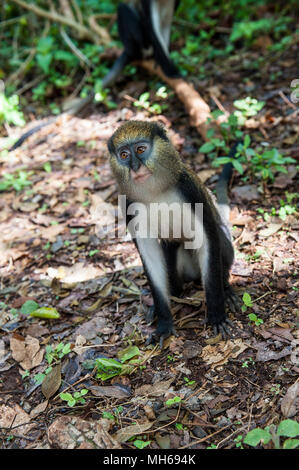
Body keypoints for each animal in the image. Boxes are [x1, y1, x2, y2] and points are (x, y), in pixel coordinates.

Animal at [107, 121, 239, 346]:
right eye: (124, 154)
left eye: (140, 149)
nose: (135, 167)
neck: (154, 193)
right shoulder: (128, 203)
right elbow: (151, 255)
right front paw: (164, 323)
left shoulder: (189, 190)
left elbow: (207, 239)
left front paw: (217, 317)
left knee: (218, 240)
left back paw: (226, 289)